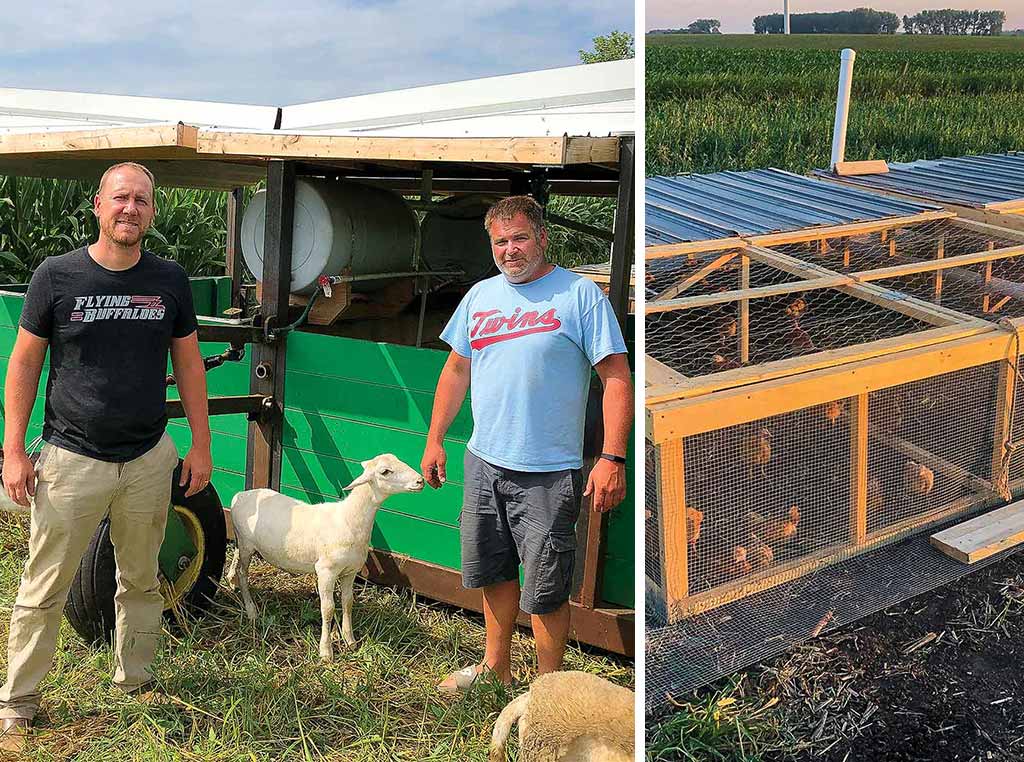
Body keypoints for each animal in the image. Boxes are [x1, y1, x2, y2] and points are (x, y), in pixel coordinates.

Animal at [227, 452, 423, 659]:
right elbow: (327, 609)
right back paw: (251, 610)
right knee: (243, 572)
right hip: (247, 543)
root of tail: (240, 495)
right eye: (385, 471)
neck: (348, 519)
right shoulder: (326, 571)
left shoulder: (350, 571)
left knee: (237, 556)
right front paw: (326, 650)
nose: (420, 481)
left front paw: (350, 641)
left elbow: (348, 602)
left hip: (241, 539)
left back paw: (231, 580)